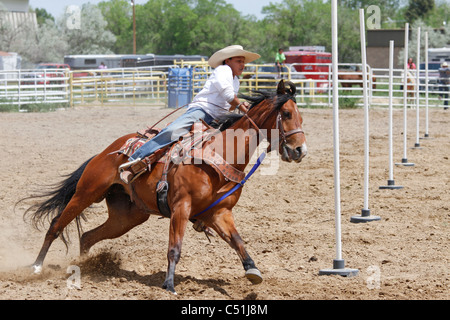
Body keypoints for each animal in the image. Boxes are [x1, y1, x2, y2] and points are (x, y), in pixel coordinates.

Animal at [22, 80, 308, 296]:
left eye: (300, 116)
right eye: (286, 114)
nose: (300, 151)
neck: (220, 154)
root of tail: (106, 152)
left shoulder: (219, 213)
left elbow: (238, 241)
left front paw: (253, 270)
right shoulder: (181, 207)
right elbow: (175, 248)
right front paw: (169, 285)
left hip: (127, 217)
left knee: (88, 237)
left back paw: (87, 266)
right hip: (86, 193)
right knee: (56, 225)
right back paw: (35, 267)